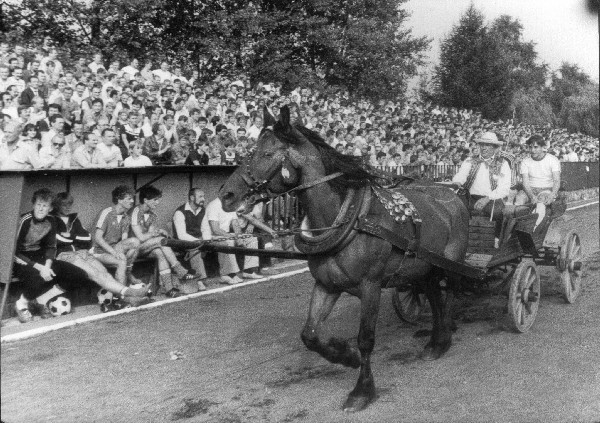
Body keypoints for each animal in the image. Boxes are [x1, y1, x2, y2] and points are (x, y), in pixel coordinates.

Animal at [218, 104, 472, 412]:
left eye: (266, 154)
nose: (226, 194)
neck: (346, 219)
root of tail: (452, 194)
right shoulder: (327, 284)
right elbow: (310, 334)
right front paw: (345, 354)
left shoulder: (371, 285)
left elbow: (366, 339)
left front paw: (362, 390)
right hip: (423, 267)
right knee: (434, 296)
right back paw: (435, 342)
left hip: (451, 262)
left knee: (449, 296)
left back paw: (444, 336)